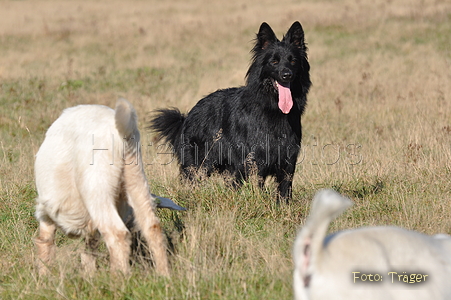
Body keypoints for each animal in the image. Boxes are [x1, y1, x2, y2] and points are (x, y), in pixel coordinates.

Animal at [34, 98, 170, 276]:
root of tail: (123, 132)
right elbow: (88, 249)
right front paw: (89, 275)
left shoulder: (46, 214)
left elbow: (45, 243)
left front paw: (44, 277)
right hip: (136, 179)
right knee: (152, 226)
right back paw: (163, 275)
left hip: (96, 187)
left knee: (117, 233)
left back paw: (117, 278)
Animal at [150, 21, 312, 202]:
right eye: (274, 61)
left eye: (293, 61)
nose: (287, 75)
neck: (272, 109)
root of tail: (187, 117)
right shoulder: (254, 162)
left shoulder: (287, 163)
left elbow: (284, 192)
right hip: (199, 166)